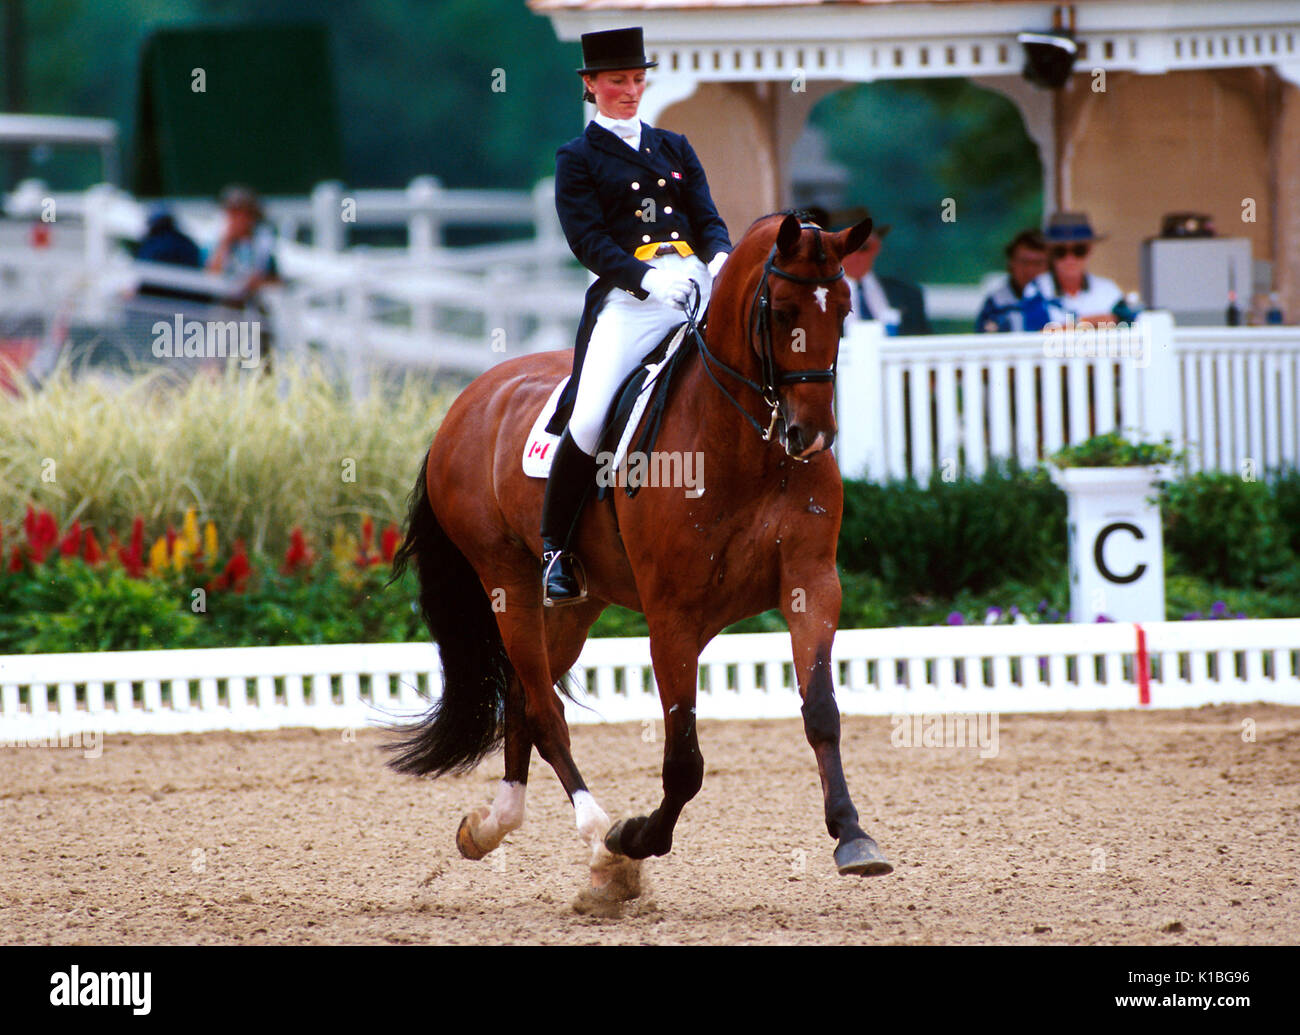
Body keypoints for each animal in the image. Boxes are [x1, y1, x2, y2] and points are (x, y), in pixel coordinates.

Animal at [387, 210, 894, 904]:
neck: (745, 445)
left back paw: (493, 826)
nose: (811, 436)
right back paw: (598, 838)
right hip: (506, 581)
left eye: (842, 309)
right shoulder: (672, 616)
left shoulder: (812, 586)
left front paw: (853, 837)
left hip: (576, 604)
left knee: (524, 699)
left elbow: (821, 713)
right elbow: (683, 760)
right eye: (783, 309)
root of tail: (469, 398)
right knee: (545, 709)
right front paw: (634, 839)